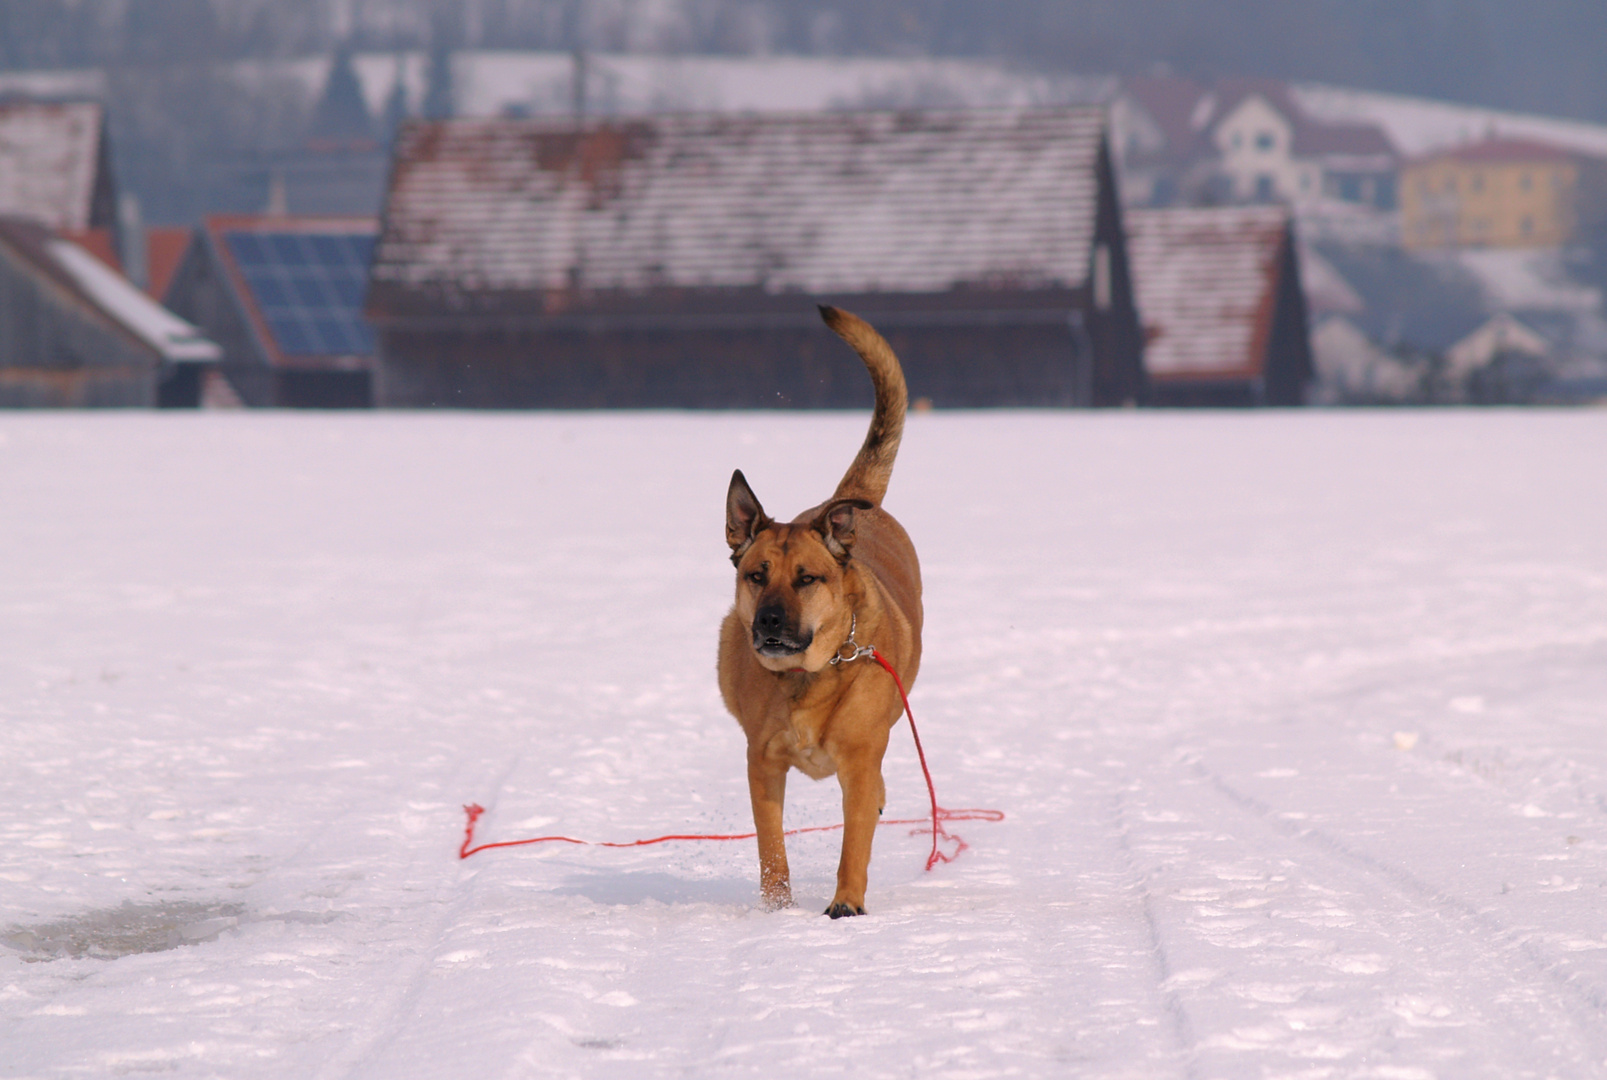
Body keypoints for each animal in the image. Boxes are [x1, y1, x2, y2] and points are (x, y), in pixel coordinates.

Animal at [723, 305, 925, 919]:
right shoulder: (762, 763)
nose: (768, 621)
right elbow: (771, 847)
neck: (807, 678)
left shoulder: (858, 759)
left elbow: (854, 838)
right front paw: (777, 911)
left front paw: (845, 905)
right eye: (756, 575)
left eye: (807, 579)